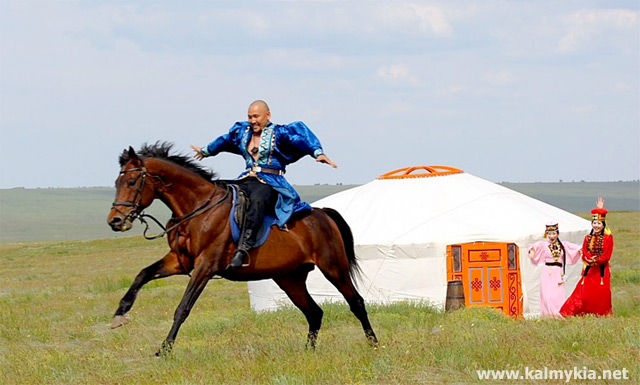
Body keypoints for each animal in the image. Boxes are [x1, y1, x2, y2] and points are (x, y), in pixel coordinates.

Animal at [105, 143, 376, 354]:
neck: (197, 208)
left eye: (131, 181)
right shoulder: (179, 262)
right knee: (314, 312)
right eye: (117, 182)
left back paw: (373, 344)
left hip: (333, 268)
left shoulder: (205, 266)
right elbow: (143, 274)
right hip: (289, 278)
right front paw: (120, 314)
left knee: (356, 302)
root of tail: (323, 214)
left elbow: (182, 308)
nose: (115, 221)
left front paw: (165, 349)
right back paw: (309, 351)